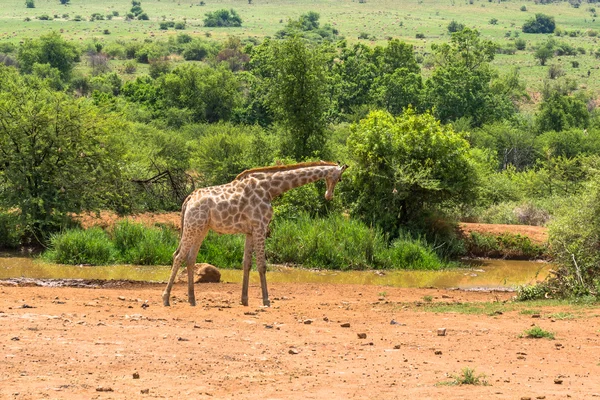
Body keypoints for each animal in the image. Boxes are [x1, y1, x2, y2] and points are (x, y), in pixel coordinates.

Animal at [162, 161, 350, 308]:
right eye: (339, 178)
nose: (329, 196)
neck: (270, 188)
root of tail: (188, 199)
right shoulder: (261, 227)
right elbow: (261, 265)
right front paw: (266, 300)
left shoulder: (250, 231)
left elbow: (246, 263)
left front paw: (244, 300)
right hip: (193, 226)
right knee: (178, 256)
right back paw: (166, 298)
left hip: (201, 228)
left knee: (190, 258)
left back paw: (192, 299)